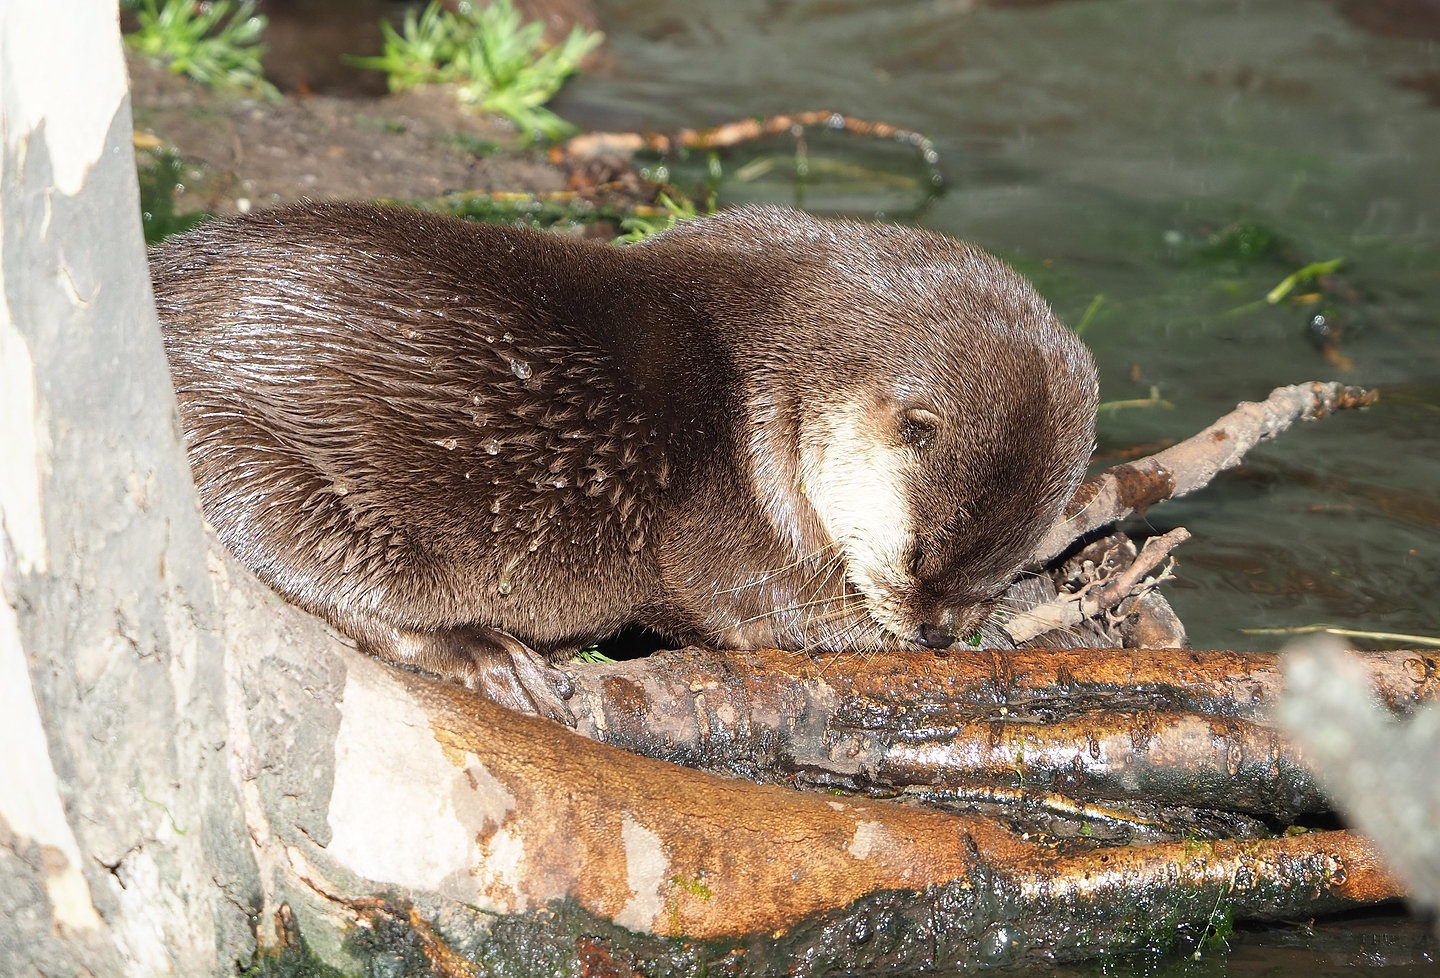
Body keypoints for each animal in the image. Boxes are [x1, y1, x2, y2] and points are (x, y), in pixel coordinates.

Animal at [150, 202, 1097, 718]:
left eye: (1007, 563)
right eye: (918, 553)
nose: (938, 632)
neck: (775, 381)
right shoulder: (733, 505)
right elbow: (763, 616)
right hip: (234, 454)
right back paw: (485, 653)